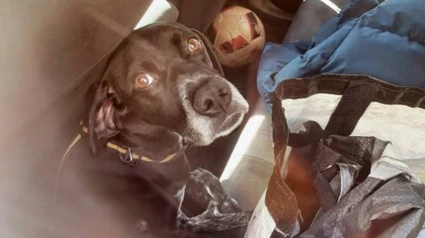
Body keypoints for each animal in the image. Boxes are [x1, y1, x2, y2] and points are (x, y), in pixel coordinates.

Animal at [54, 22, 250, 236]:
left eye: (193, 43)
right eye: (142, 81)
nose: (214, 96)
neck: (134, 152)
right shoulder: (173, 224)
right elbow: (212, 218)